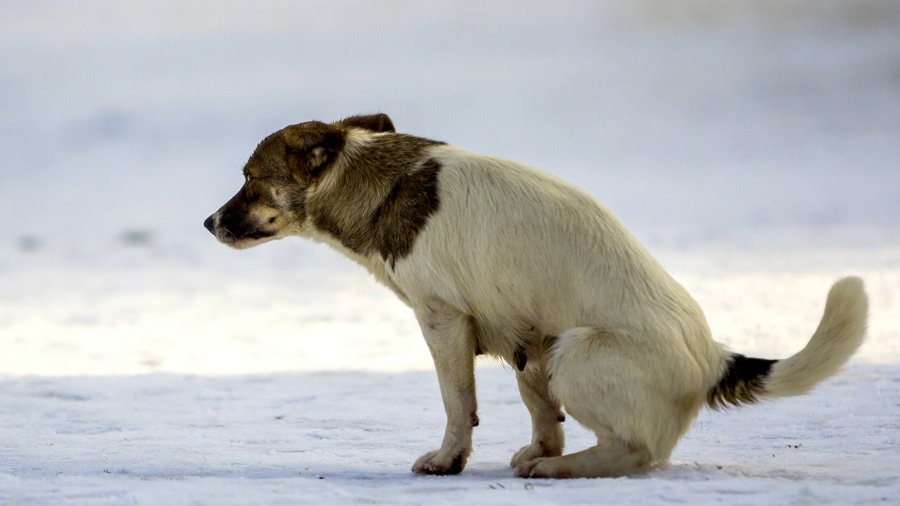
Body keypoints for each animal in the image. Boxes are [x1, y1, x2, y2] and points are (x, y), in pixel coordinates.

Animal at [204, 114, 864, 478]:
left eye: (249, 180)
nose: (208, 223)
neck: (380, 181)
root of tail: (712, 358)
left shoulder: (443, 320)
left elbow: (456, 403)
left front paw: (448, 461)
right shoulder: (516, 339)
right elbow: (539, 413)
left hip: (576, 352)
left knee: (638, 453)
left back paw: (559, 469)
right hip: (547, 349)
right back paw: (546, 458)